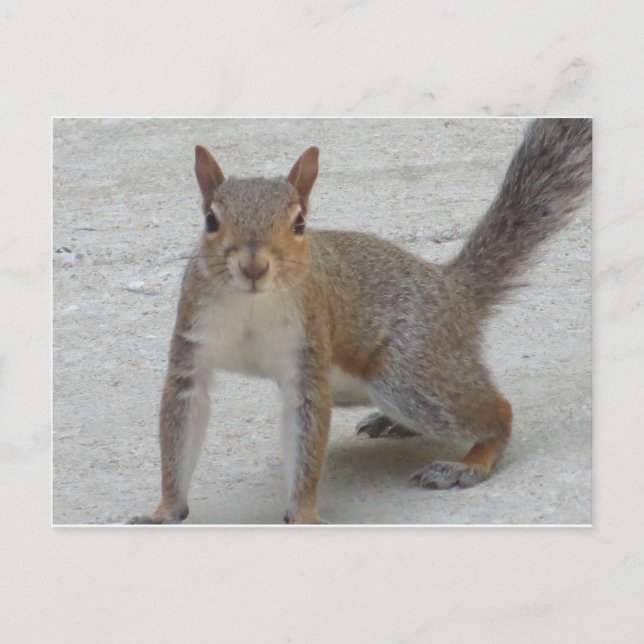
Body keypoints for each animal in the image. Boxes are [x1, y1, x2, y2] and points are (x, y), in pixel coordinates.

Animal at [129, 118, 592, 524]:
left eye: (299, 222)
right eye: (210, 220)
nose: (254, 267)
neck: (252, 305)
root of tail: (454, 290)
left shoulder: (308, 354)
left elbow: (306, 440)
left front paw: (303, 516)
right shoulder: (192, 347)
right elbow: (182, 423)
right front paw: (164, 511)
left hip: (410, 373)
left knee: (498, 412)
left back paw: (467, 464)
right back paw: (395, 424)